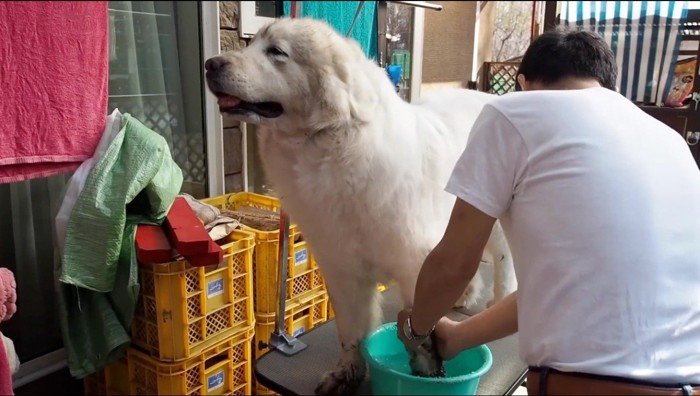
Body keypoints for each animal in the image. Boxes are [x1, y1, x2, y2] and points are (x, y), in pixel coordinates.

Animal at [205, 17, 516, 392]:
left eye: (276, 51)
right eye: (251, 46)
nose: (210, 64)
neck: (330, 146)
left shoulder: (414, 263)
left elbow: (420, 323)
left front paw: (425, 367)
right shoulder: (341, 268)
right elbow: (351, 331)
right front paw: (347, 372)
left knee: (505, 261)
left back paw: (500, 299)